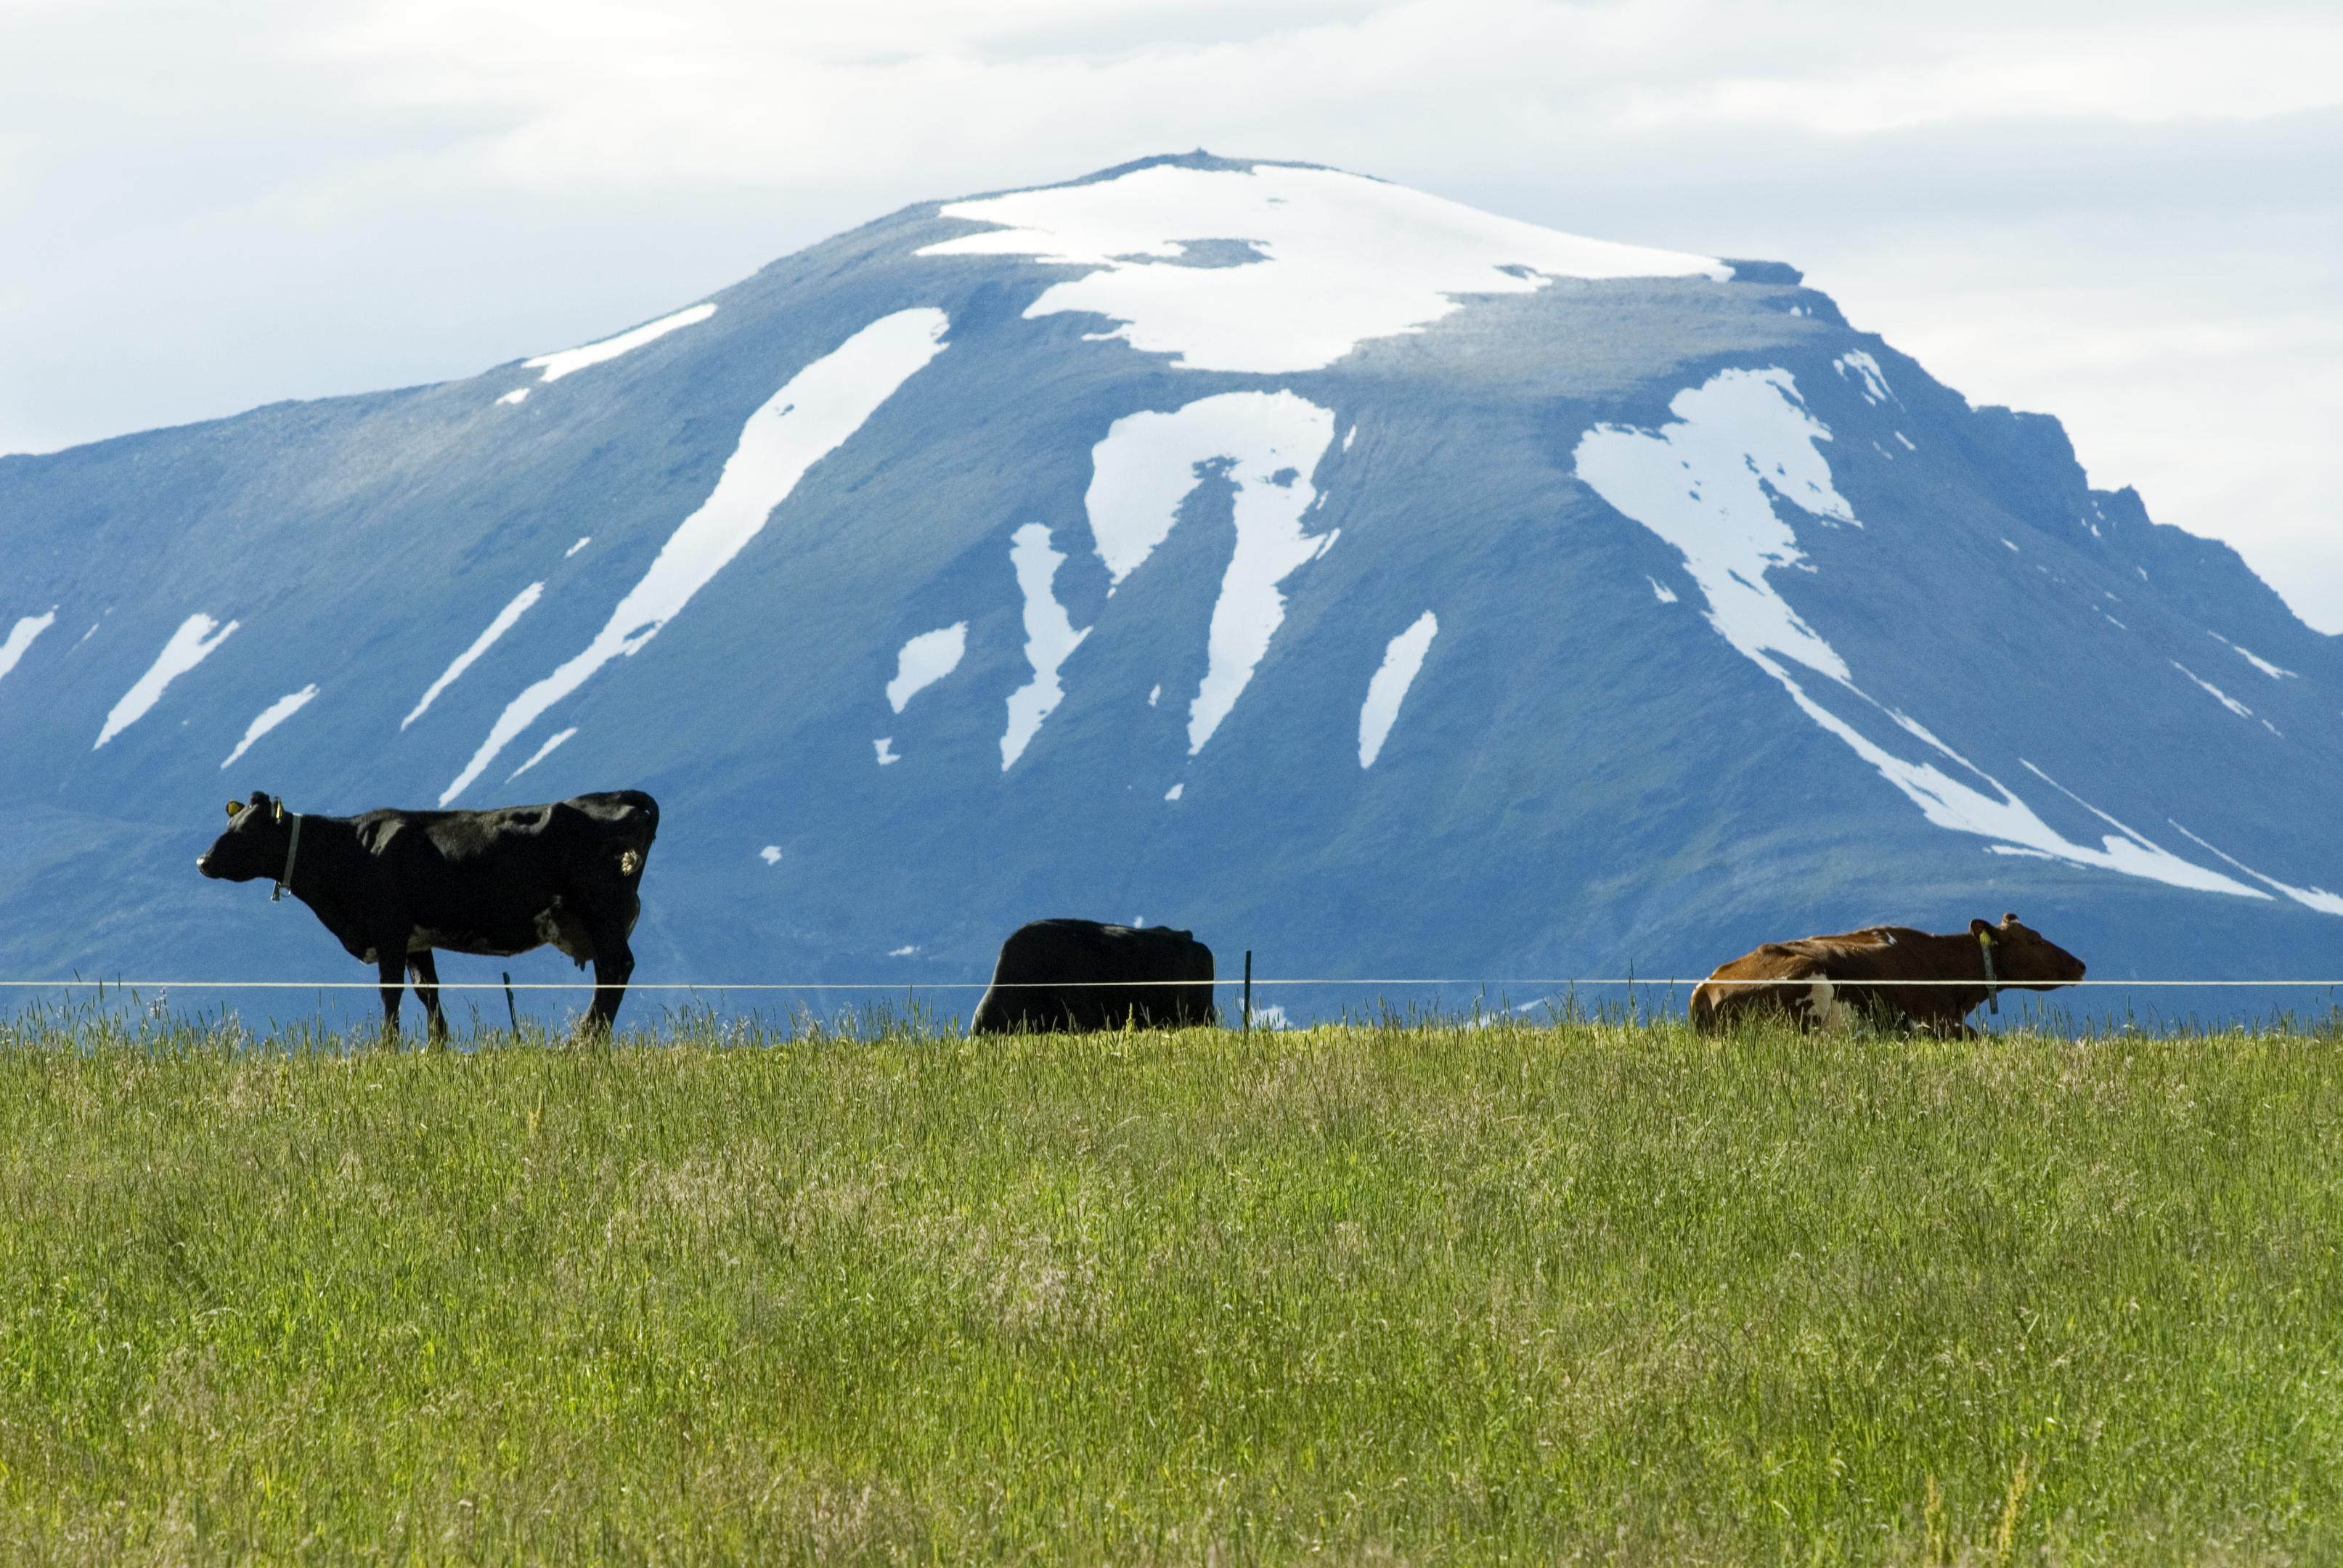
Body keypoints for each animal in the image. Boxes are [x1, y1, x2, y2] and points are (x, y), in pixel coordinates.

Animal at [199, 787, 661, 1031]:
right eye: (230, 824)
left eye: (247, 832)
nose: (202, 861)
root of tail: (615, 797)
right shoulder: (416, 940)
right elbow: (428, 991)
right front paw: (437, 1047)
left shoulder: (389, 928)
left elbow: (390, 992)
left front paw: (386, 1048)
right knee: (610, 973)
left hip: (601, 910)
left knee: (615, 969)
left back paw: (584, 1040)